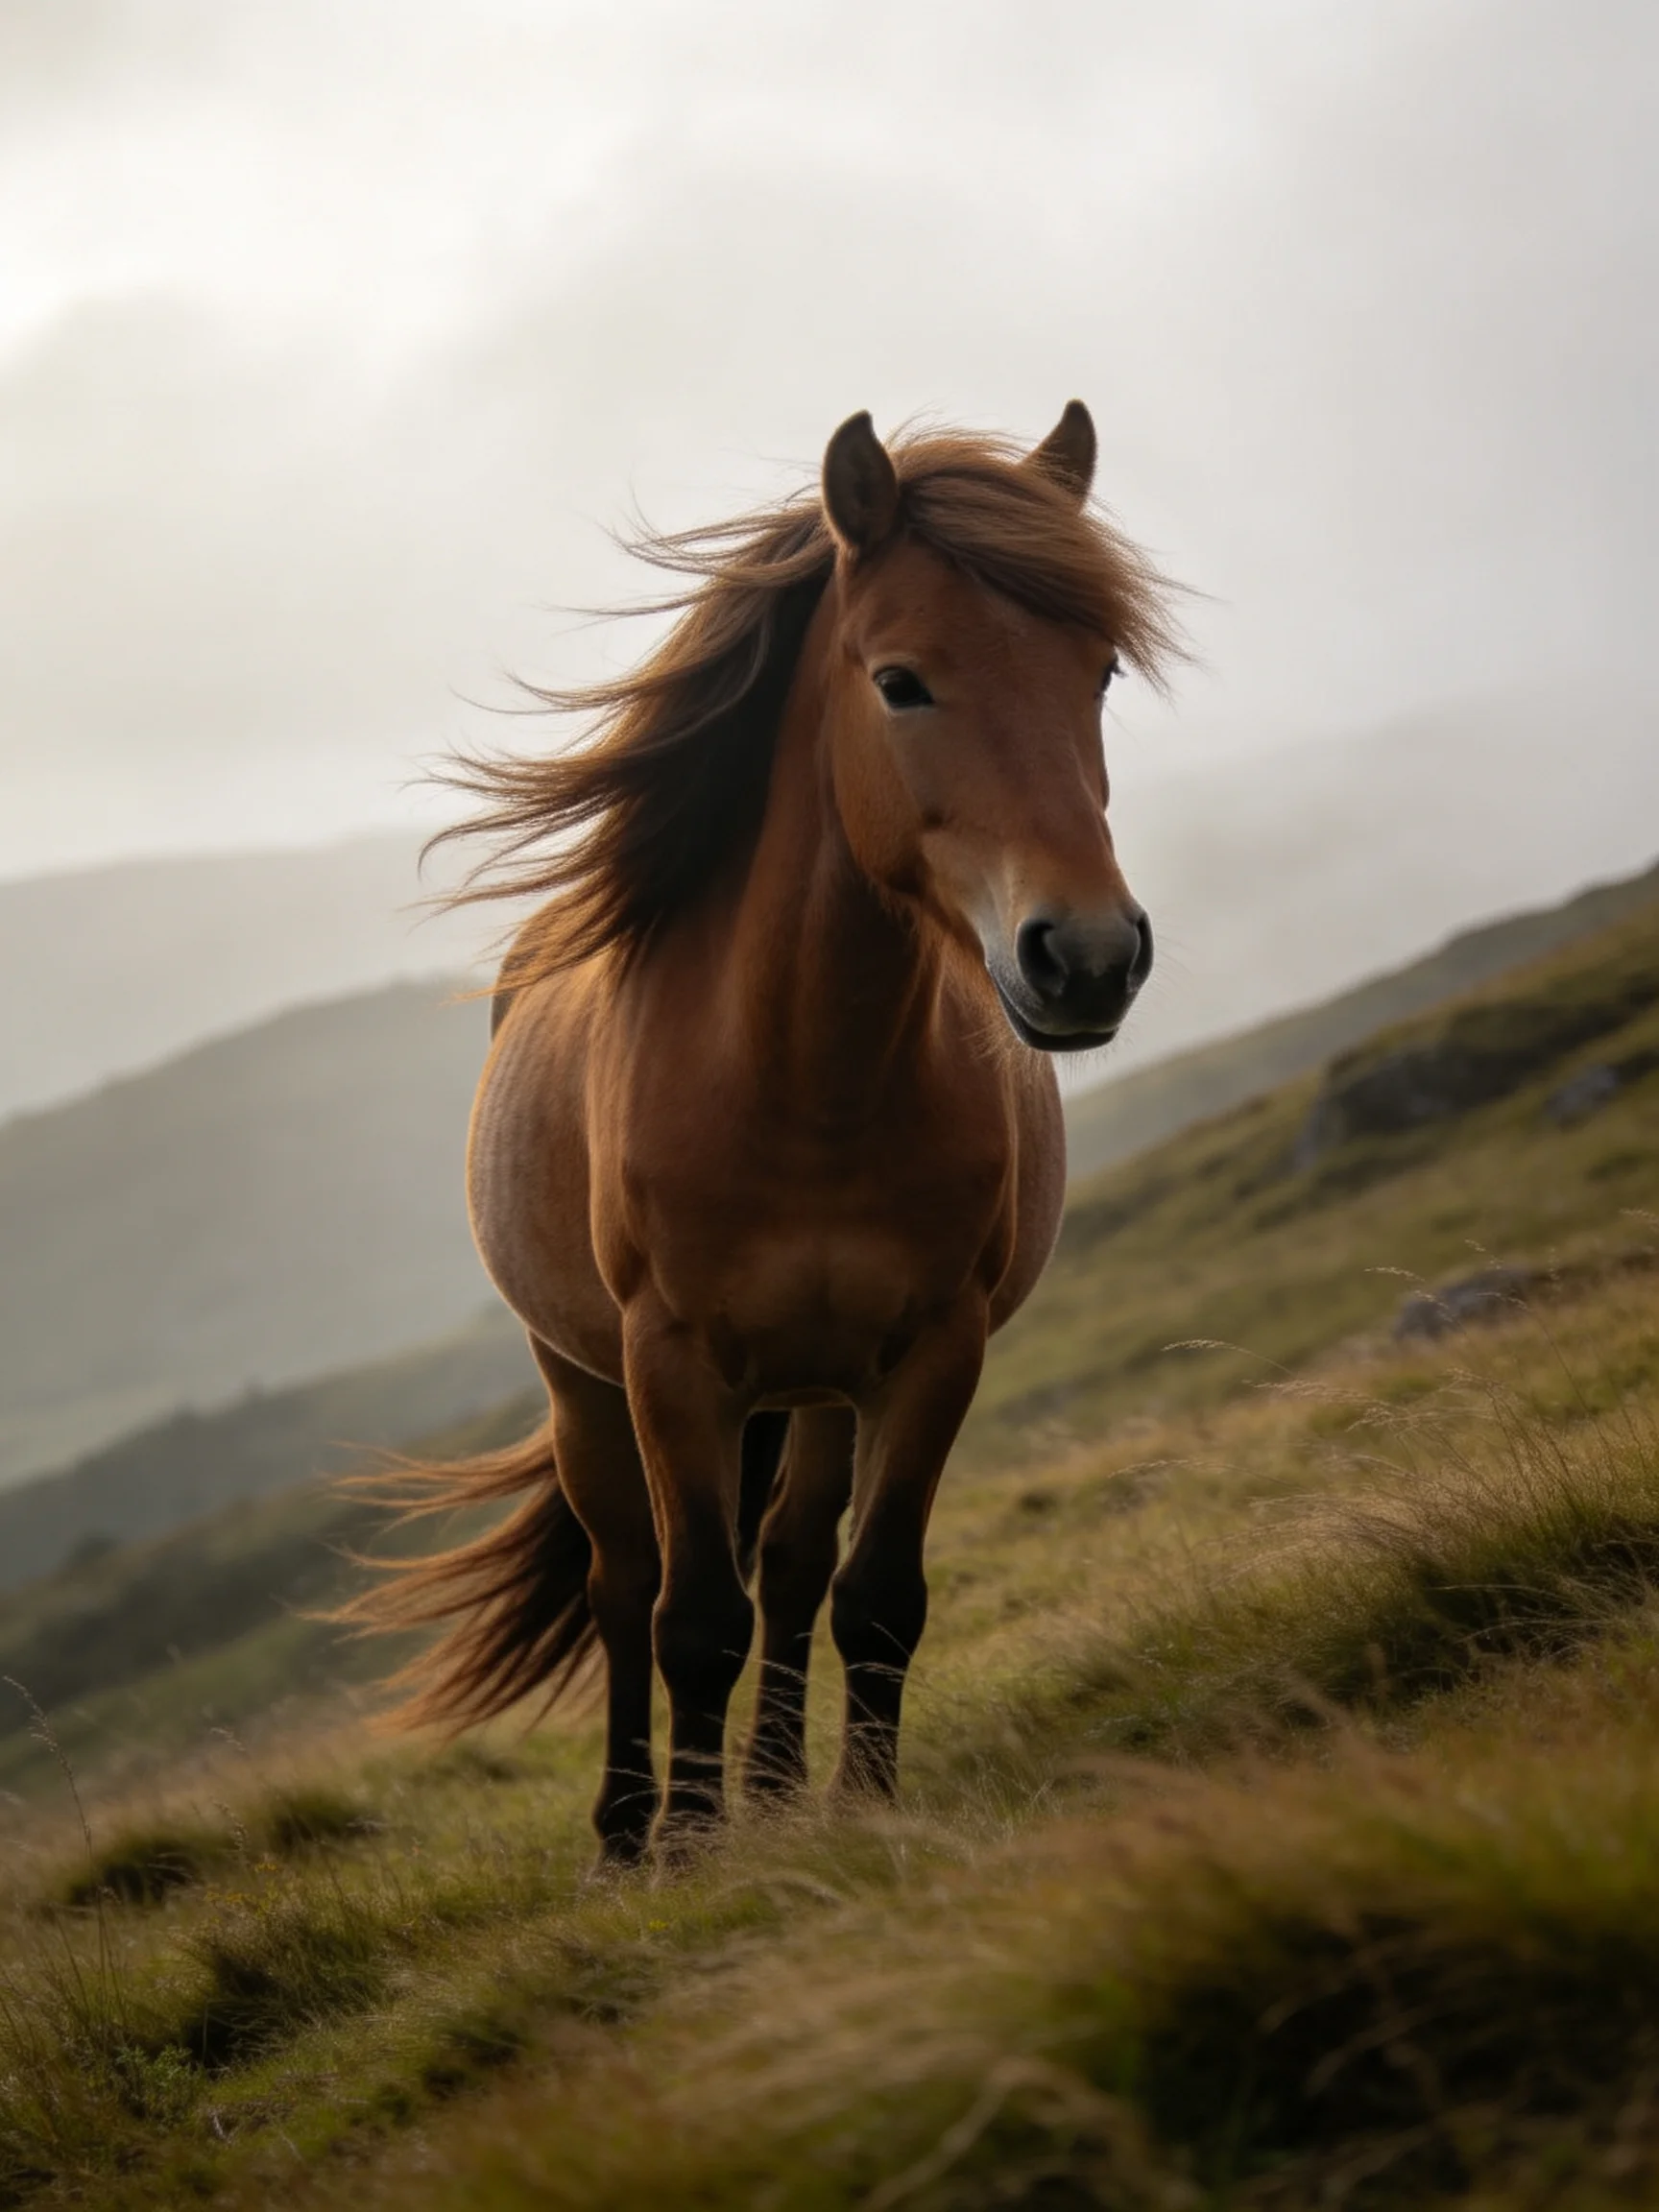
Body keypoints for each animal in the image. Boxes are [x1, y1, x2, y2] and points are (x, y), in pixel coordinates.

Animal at [347, 404, 1179, 1865]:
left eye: (1101, 672)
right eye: (901, 681)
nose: (1085, 957)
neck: (804, 1081)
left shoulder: (932, 1349)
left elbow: (875, 1590)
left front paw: (861, 1804)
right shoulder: (671, 1366)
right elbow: (689, 1618)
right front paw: (688, 1845)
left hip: (818, 1383)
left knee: (791, 1562)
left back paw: (782, 1790)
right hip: (583, 1383)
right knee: (624, 1584)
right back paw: (628, 1831)